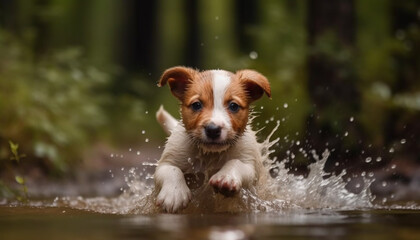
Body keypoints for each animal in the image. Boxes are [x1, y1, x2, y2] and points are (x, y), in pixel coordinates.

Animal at [153, 66, 270, 212]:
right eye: (196, 105)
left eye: (234, 106)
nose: (213, 130)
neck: (210, 154)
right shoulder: (168, 160)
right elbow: (171, 170)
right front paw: (174, 194)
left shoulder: (249, 164)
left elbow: (236, 163)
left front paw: (226, 177)